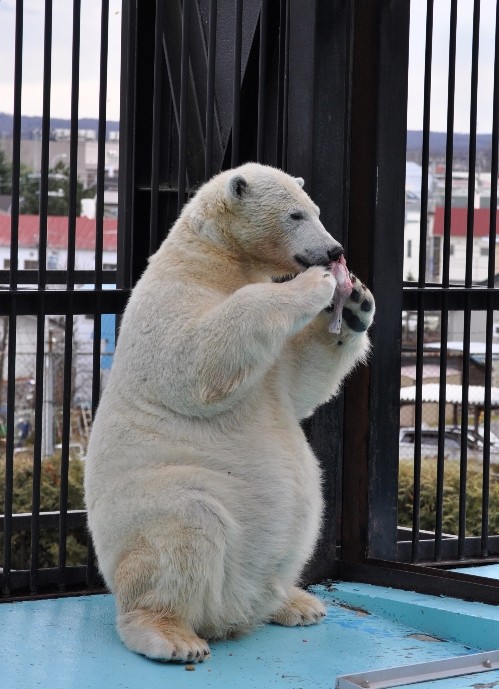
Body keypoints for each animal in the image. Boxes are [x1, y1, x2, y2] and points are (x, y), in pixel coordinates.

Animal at [85, 161, 376, 660]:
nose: (334, 250)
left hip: (290, 533)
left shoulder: (273, 369)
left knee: (302, 522)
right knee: (184, 531)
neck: (210, 259)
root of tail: (228, 612)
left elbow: (298, 380)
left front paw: (356, 301)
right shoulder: (170, 297)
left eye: (317, 210)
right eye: (297, 215)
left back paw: (296, 603)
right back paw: (172, 636)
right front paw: (314, 287)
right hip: (159, 505)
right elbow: (198, 356)